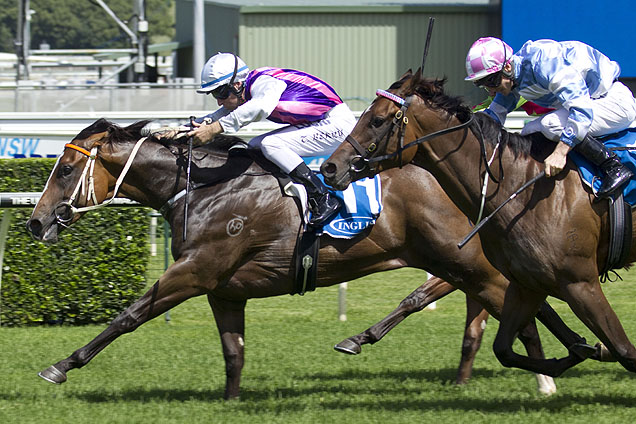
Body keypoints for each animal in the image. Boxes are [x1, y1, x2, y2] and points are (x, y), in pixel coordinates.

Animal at [26, 118, 592, 398]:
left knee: (518, 305)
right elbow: (233, 352)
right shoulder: (224, 289)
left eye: (63, 170)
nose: (35, 221)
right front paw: (231, 402)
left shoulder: (196, 270)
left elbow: (129, 316)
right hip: (457, 264)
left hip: (468, 264)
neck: (202, 187)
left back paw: (549, 375)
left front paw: (60, 366)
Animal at [322, 68, 636, 378]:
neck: (519, 186)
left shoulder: (580, 282)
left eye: (377, 120)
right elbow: (504, 349)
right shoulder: (528, 283)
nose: (330, 167)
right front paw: (578, 352)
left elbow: (625, 352)